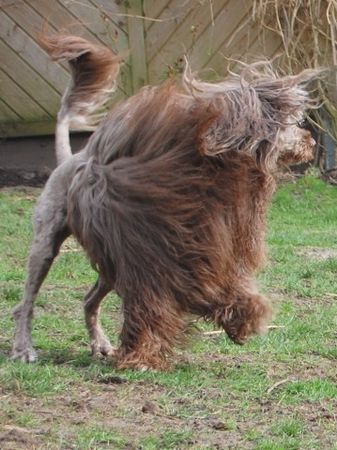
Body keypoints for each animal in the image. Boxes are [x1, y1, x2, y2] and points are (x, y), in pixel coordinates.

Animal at [11, 35, 320, 370]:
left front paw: (242, 316)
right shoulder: (153, 253)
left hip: (109, 261)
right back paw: (24, 348)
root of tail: (67, 161)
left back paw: (101, 344)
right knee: (26, 302)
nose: (312, 142)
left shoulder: (196, 248)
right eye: (291, 124)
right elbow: (155, 304)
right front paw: (143, 355)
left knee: (89, 299)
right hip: (48, 245)